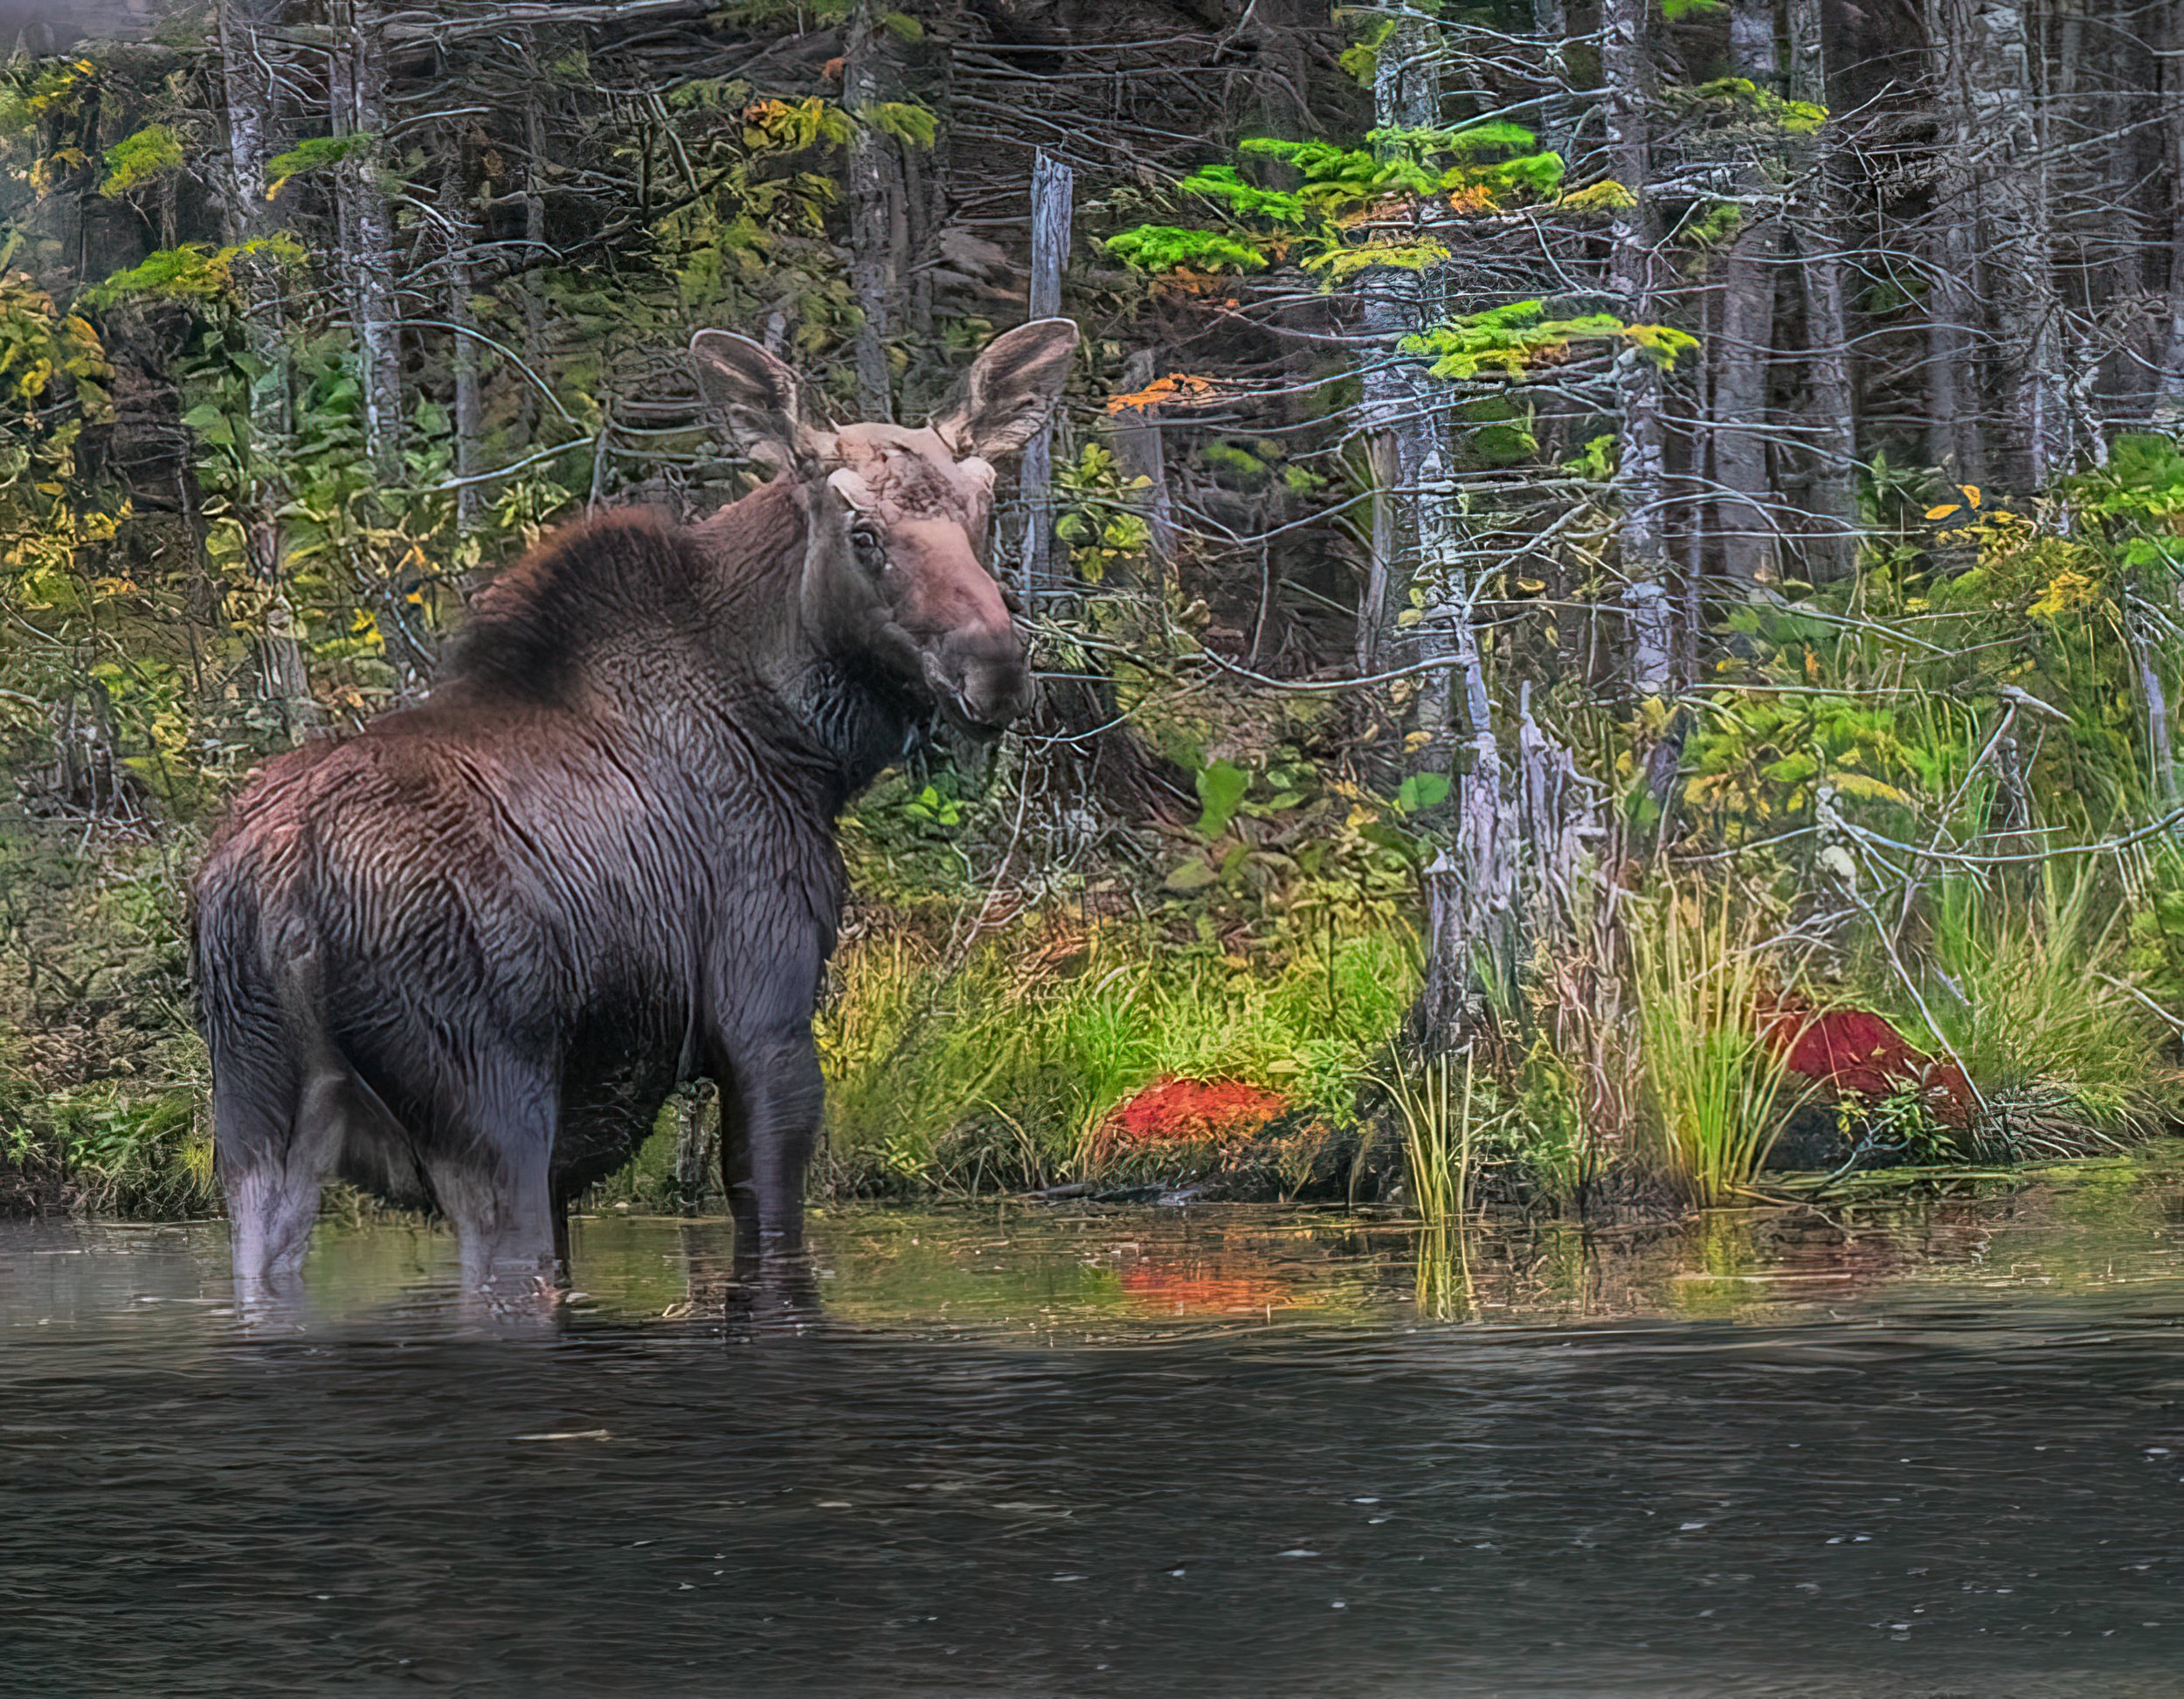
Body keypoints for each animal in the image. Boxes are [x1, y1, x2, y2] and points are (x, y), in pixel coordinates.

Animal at [197, 321, 1075, 1302]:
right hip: (489, 1108)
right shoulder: (764, 1010)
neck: (810, 748)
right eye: (864, 533)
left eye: (983, 511)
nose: (994, 665)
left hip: (252, 1127)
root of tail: (276, 896)